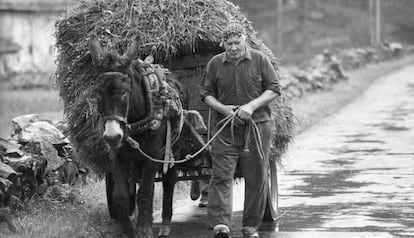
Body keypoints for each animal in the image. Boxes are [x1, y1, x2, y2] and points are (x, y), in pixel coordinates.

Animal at [89, 34, 209, 237]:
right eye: (98, 93)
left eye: (124, 92)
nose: (112, 136)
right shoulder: (118, 156)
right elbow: (120, 196)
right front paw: (128, 228)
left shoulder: (153, 156)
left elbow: (145, 193)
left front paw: (144, 229)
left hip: (173, 152)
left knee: (169, 182)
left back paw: (166, 223)